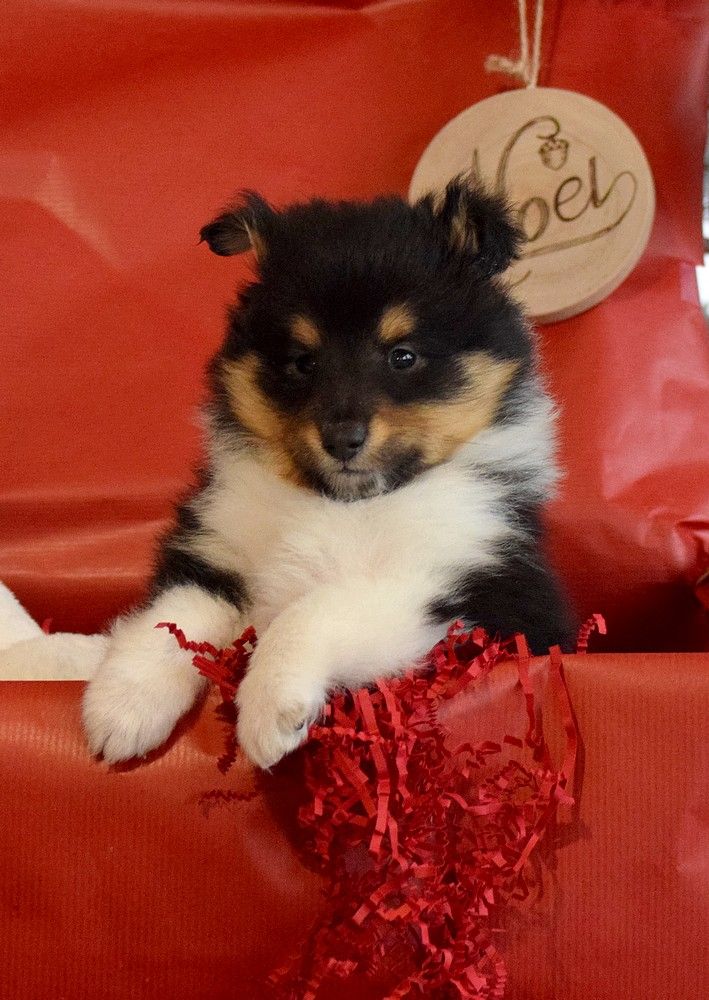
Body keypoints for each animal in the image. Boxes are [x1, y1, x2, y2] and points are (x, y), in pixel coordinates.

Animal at [82, 178, 573, 769]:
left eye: (403, 356)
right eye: (301, 361)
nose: (341, 439)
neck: (345, 504)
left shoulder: (469, 587)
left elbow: (317, 608)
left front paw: (268, 710)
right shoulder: (216, 549)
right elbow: (174, 614)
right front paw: (121, 708)